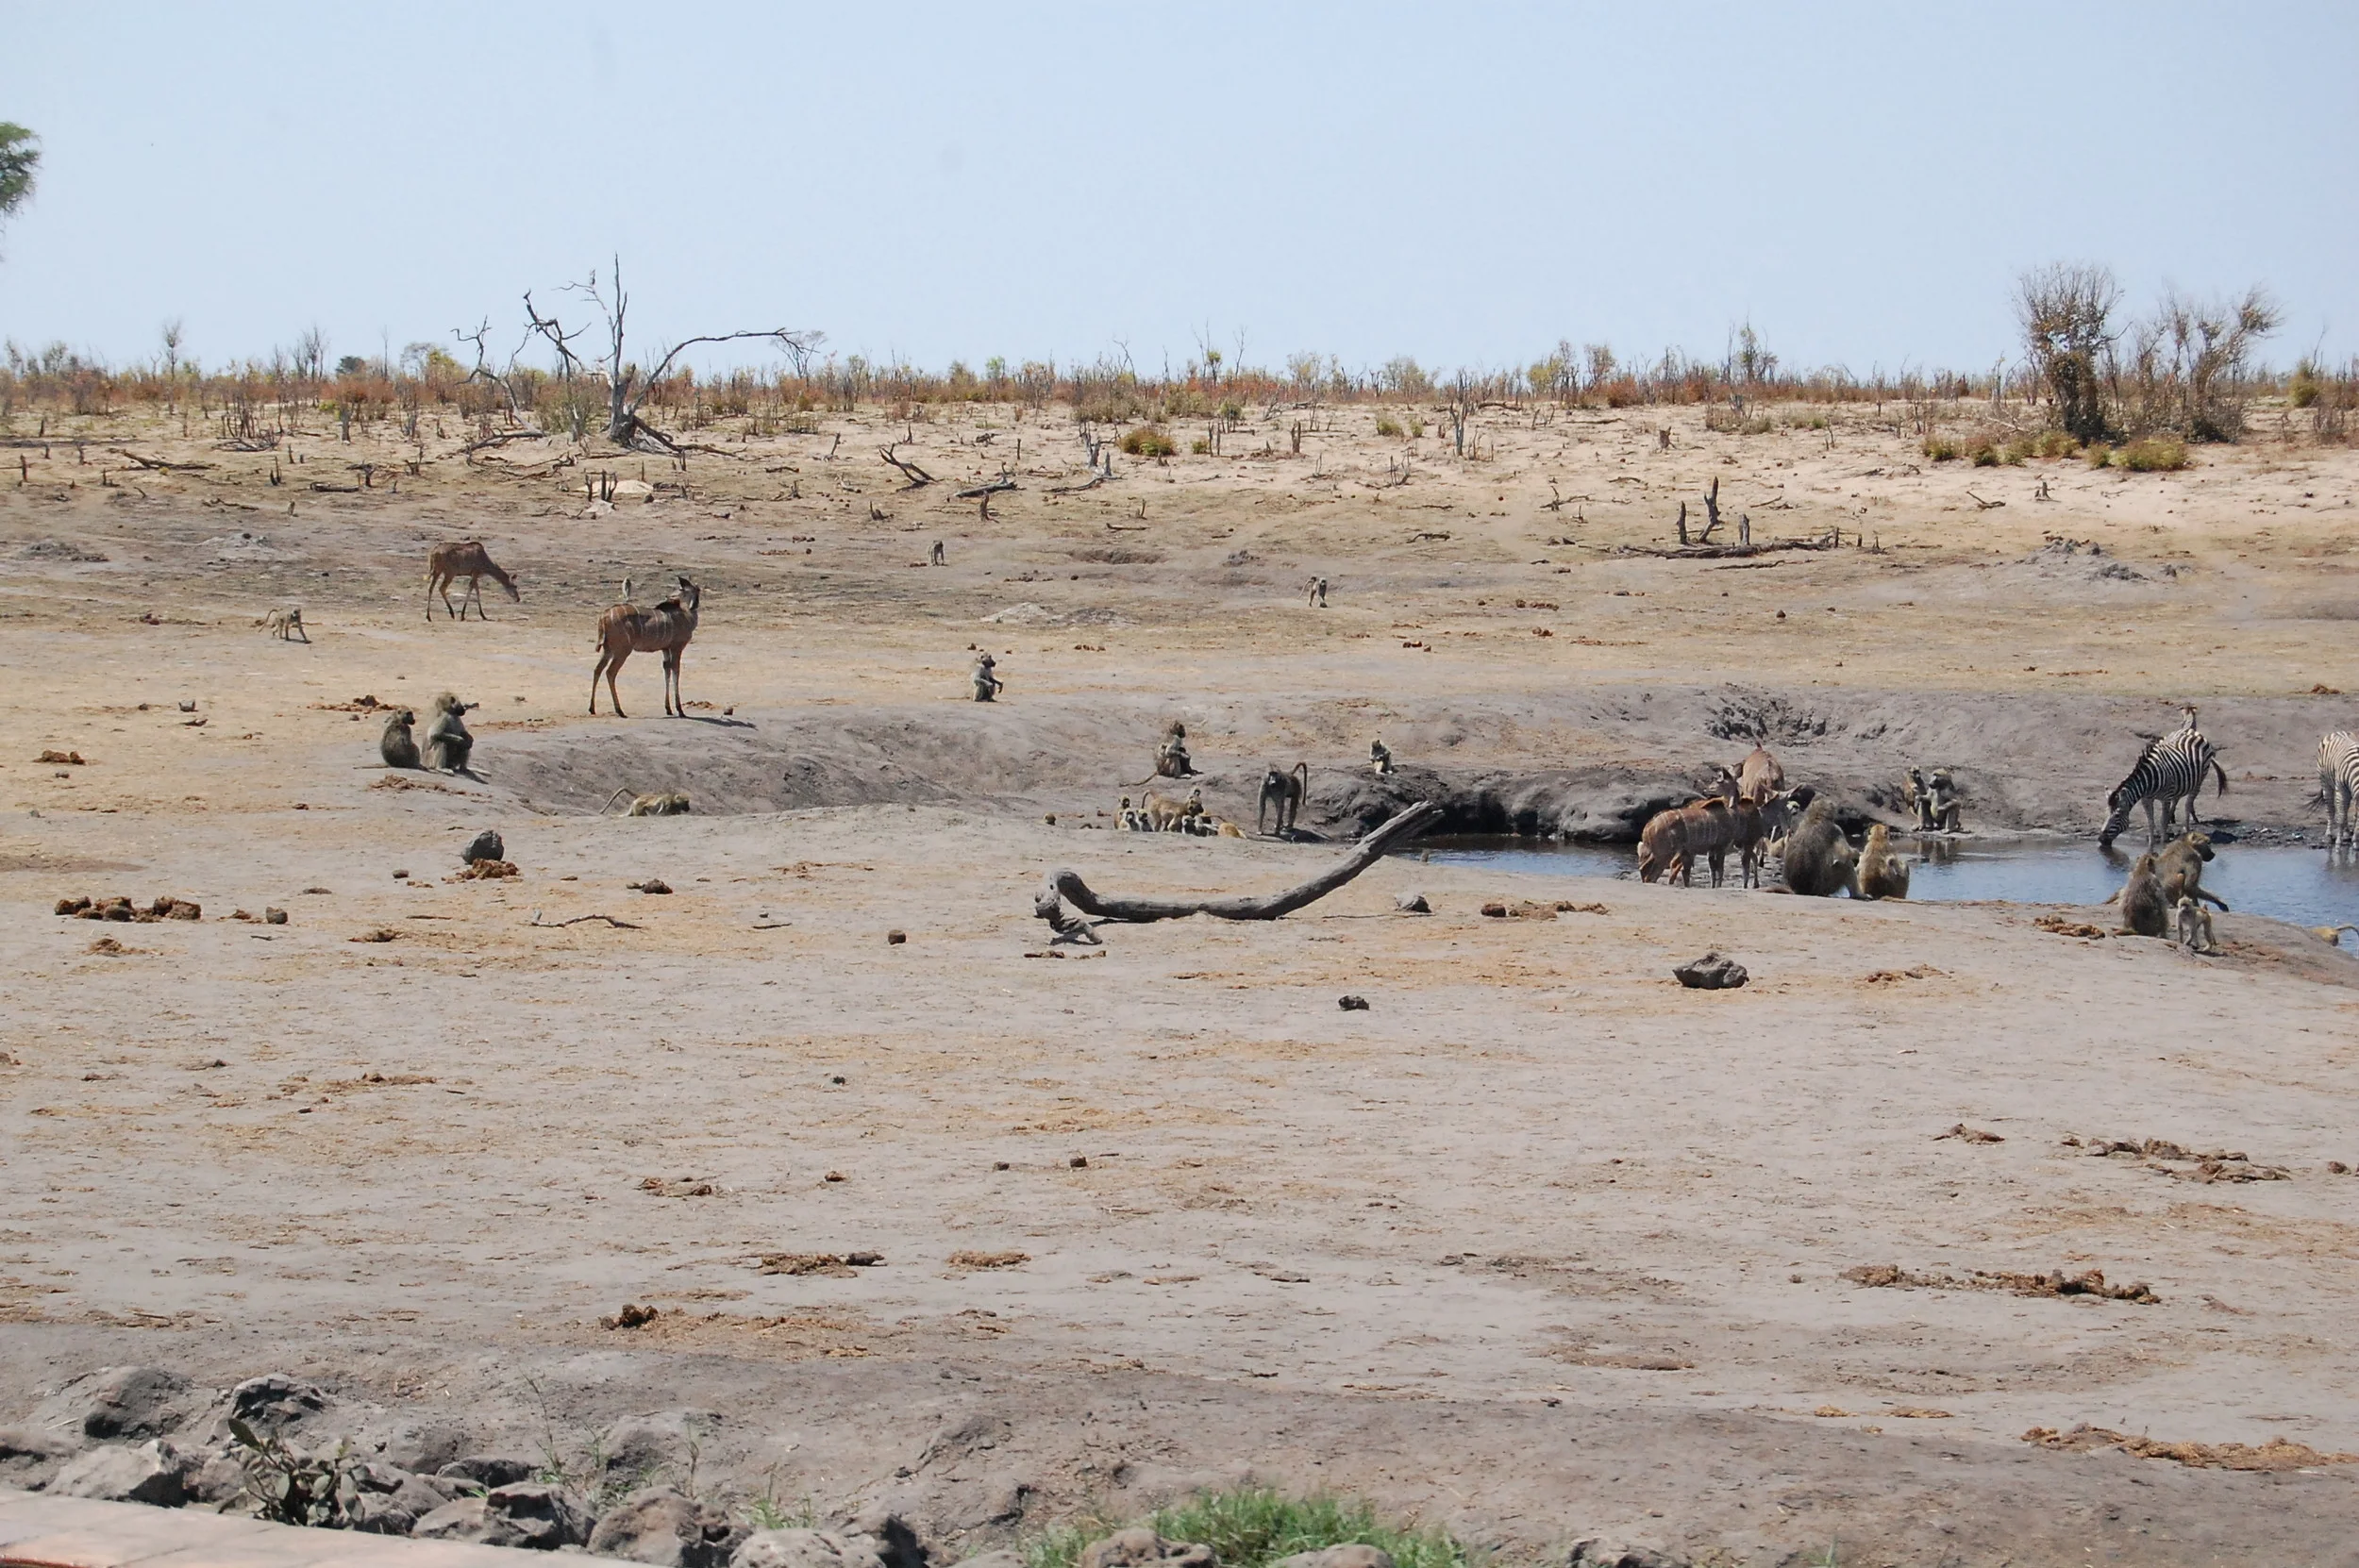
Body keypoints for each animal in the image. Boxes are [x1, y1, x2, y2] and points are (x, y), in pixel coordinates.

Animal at [2098, 713, 2228, 850]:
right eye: (2105, 813)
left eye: (2117, 816)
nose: (2101, 840)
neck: (2148, 783)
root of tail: (2191, 730)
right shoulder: (2146, 799)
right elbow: (2151, 822)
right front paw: (2151, 846)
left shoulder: (2165, 797)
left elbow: (2162, 821)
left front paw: (2162, 845)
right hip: (2180, 781)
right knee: (2177, 799)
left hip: (2199, 779)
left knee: (2188, 804)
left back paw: (2186, 829)